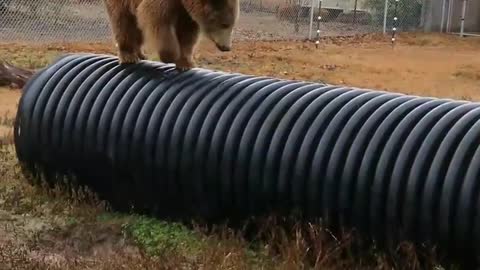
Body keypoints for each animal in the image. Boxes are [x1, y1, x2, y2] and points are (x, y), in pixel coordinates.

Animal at [101, 0, 240, 69]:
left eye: (233, 24)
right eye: (224, 24)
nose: (226, 47)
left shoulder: (186, 12)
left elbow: (188, 33)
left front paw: (186, 63)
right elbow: (157, 19)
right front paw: (170, 56)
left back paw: (141, 54)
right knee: (123, 21)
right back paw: (128, 56)